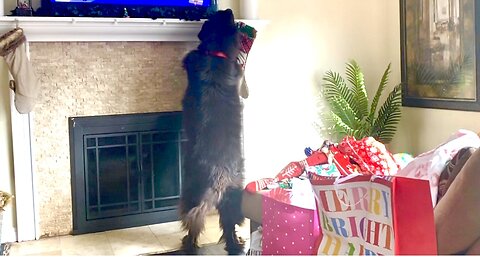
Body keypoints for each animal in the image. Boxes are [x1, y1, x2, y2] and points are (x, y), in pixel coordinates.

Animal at [180, 8, 248, 254]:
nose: (227, 9)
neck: (216, 53)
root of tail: (219, 178)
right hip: (232, 198)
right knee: (228, 227)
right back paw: (236, 245)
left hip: (190, 191)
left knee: (193, 223)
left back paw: (188, 245)